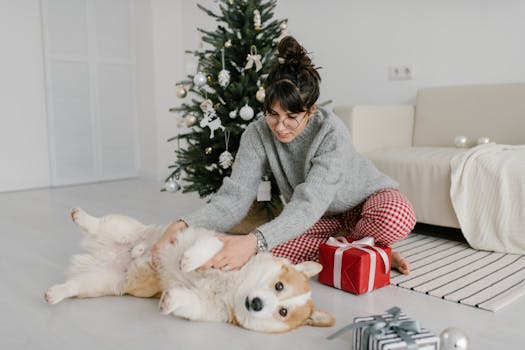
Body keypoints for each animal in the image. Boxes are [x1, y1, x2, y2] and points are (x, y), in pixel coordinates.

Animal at [44, 209, 332, 332]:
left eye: (283, 312)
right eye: (279, 286)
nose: (257, 304)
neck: (236, 288)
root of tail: (101, 254)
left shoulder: (204, 309)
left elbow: (186, 303)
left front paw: (168, 301)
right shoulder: (222, 243)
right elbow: (208, 247)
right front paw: (189, 261)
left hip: (102, 282)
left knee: (74, 285)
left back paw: (55, 293)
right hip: (123, 228)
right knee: (100, 223)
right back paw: (81, 216)